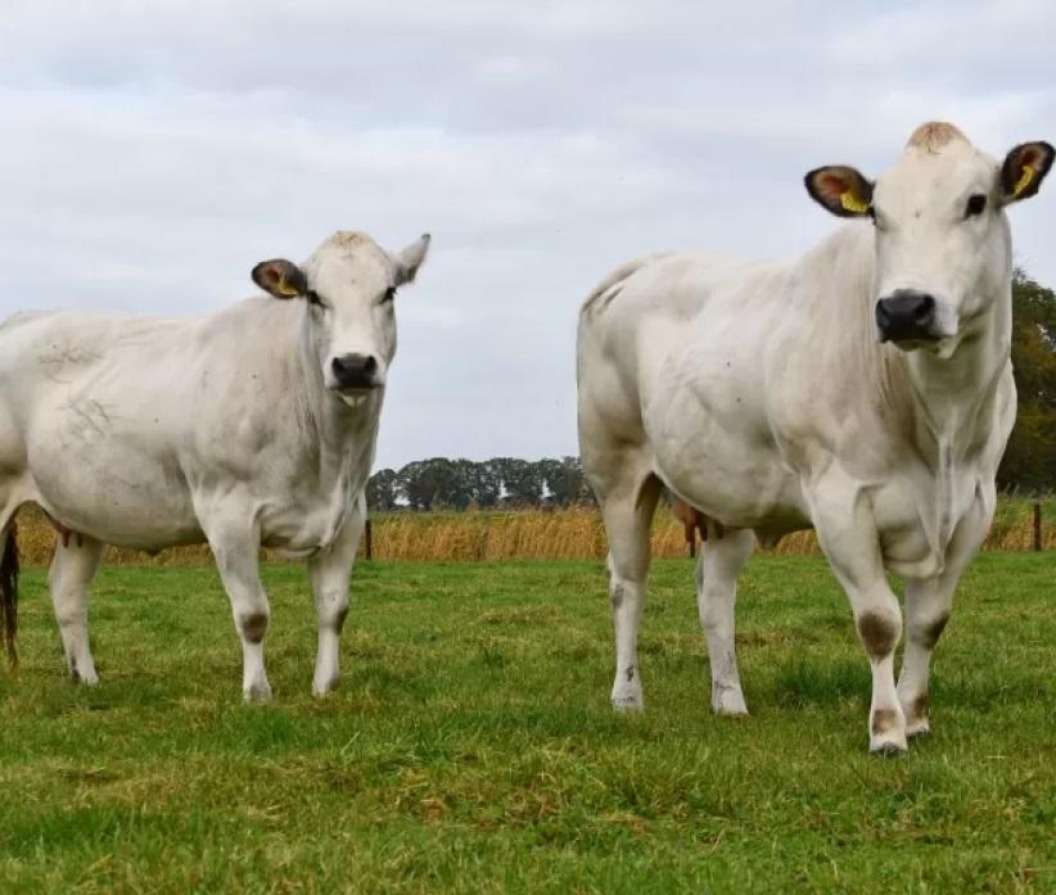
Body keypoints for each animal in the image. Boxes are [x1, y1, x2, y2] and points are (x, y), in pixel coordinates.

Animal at [1, 229, 428, 700]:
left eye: (388, 292)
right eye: (315, 296)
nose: (353, 365)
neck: (327, 456)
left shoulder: (348, 516)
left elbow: (334, 609)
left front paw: (324, 688)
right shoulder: (228, 513)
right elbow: (253, 614)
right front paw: (257, 693)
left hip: (84, 514)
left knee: (67, 592)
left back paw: (87, 679)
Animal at [582, 122, 1051, 751]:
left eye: (977, 202)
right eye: (876, 214)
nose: (904, 308)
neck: (941, 425)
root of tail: (645, 263)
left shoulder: (974, 507)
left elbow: (928, 622)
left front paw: (916, 716)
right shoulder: (840, 502)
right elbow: (880, 622)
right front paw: (886, 731)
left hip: (729, 497)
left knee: (714, 594)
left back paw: (729, 701)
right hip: (617, 473)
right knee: (628, 583)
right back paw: (627, 698)